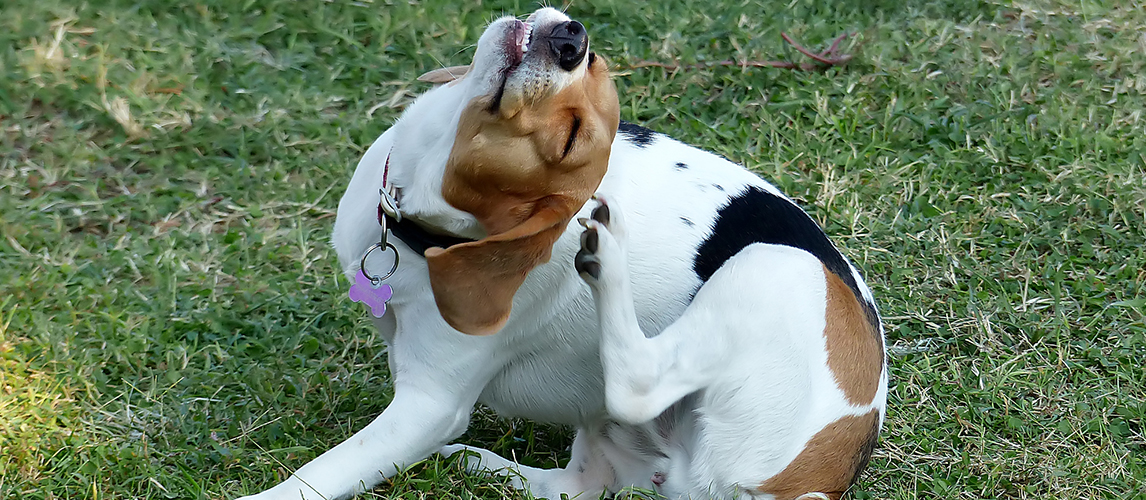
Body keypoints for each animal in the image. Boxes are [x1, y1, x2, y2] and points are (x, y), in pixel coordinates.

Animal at [239, 6, 884, 499]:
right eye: (592, 59)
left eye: (570, 139)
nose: (573, 39)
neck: (418, 227)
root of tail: (819, 479)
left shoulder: (428, 405)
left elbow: (317, 476)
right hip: (612, 446)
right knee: (574, 484)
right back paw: (474, 462)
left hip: (777, 266)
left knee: (636, 382)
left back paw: (607, 257)